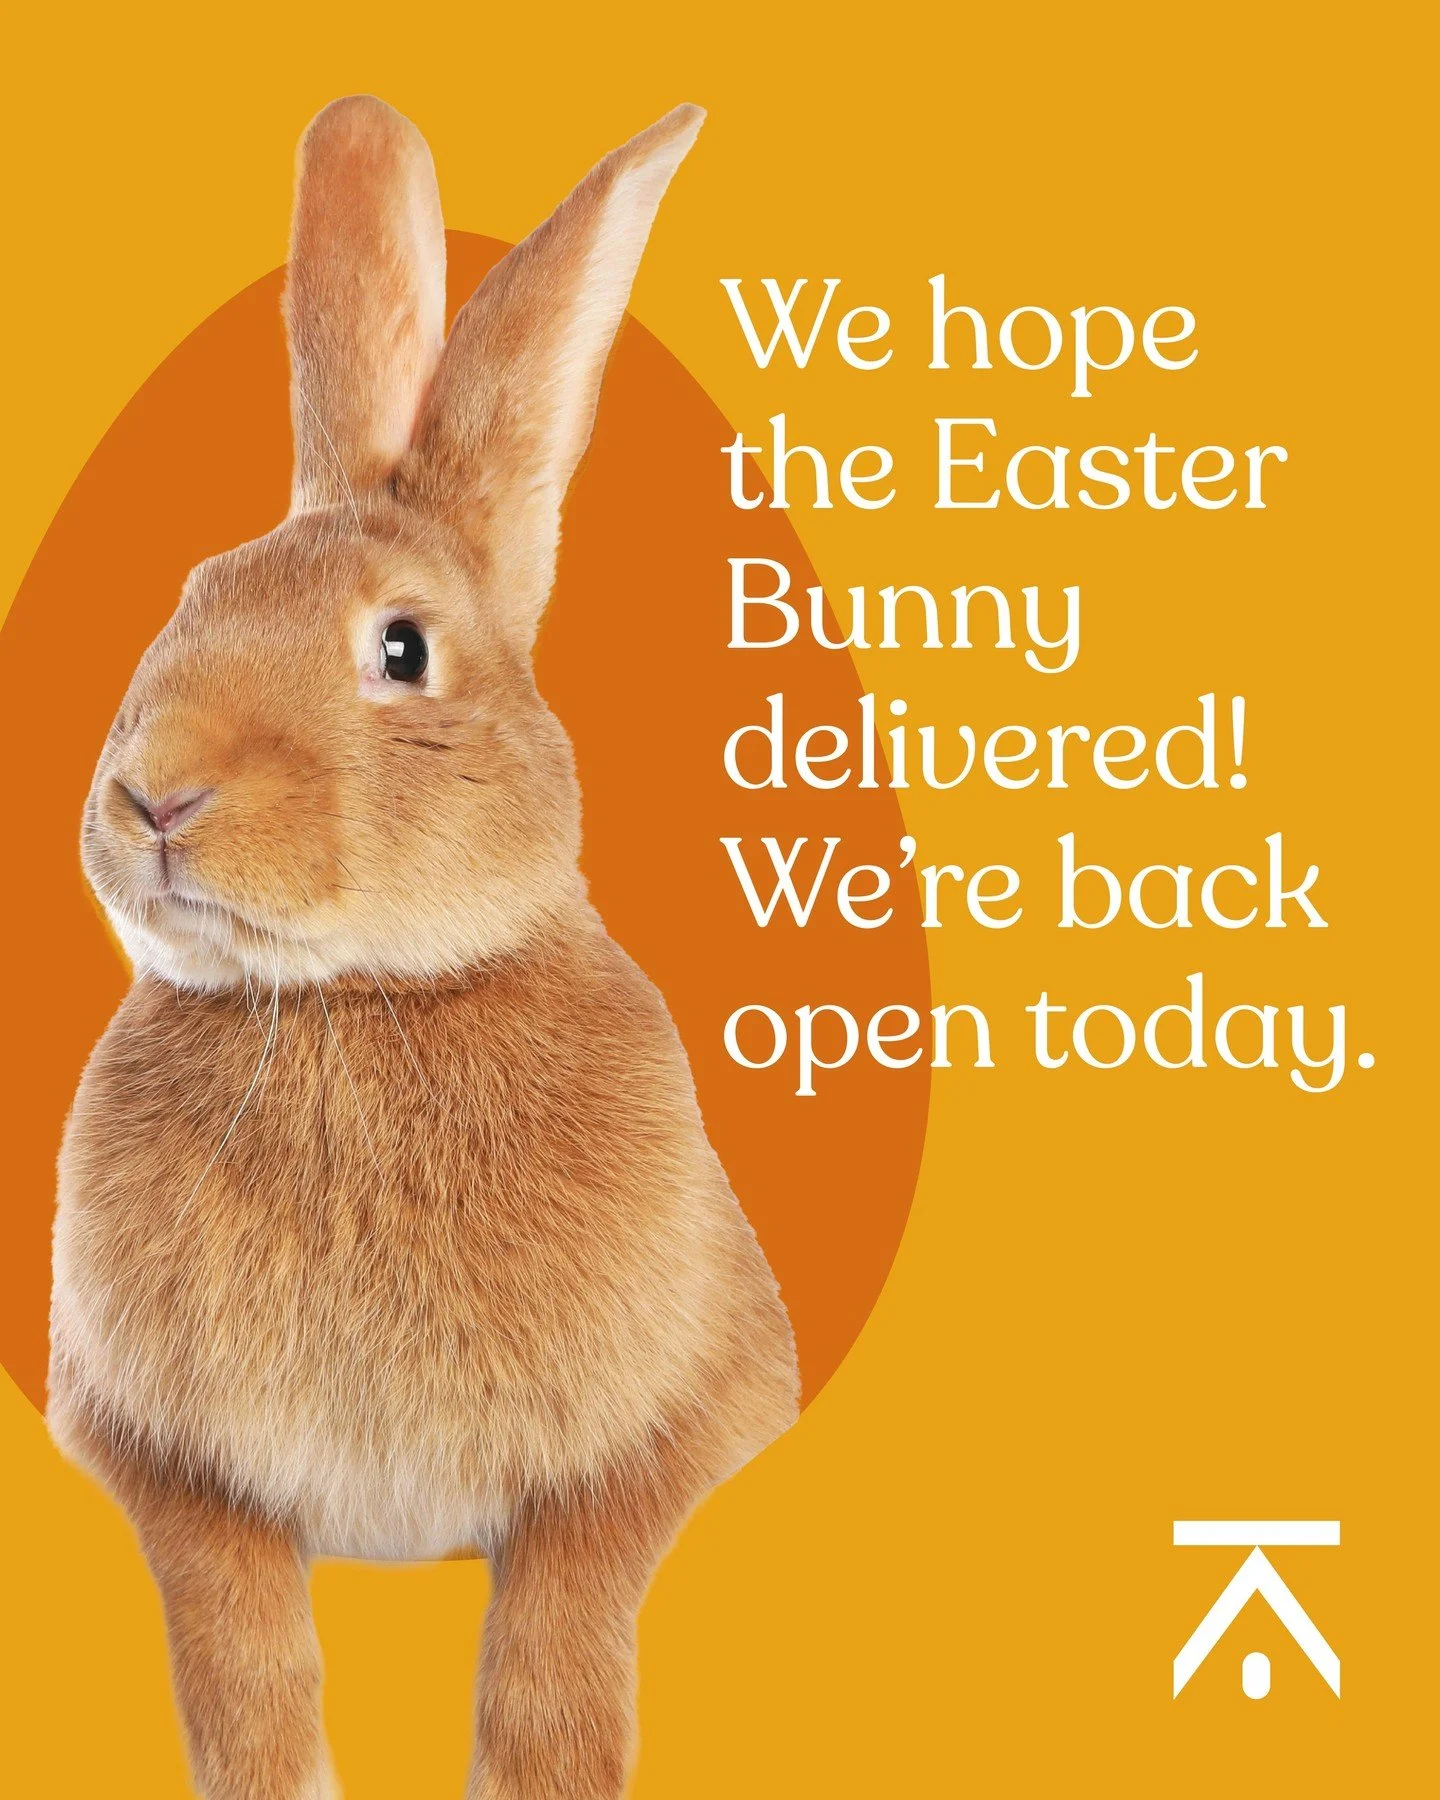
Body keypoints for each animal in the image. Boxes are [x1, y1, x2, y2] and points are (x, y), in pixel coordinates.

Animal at [48, 96, 799, 1800]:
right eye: (194, 594)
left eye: (402, 649)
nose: (153, 794)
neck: (350, 1001)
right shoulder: (151, 1441)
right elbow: (235, 1613)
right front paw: (277, 1775)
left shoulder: (686, 1405)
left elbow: (575, 1582)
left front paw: (545, 1772)